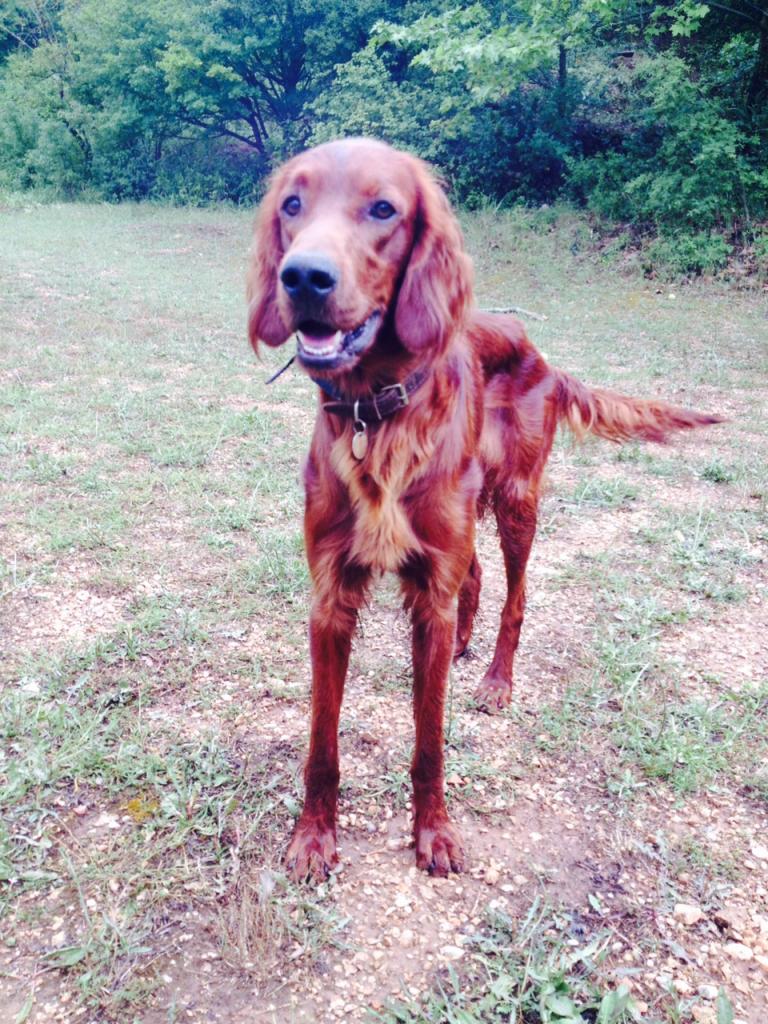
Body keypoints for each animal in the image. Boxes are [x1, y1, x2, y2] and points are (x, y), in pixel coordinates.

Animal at [247, 140, 720, 884]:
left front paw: (433, 832)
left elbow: (430, 741)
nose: (304, 278)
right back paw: (466, 645)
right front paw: (314, 837)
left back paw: (497, 679)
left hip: (517, 501)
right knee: (469, 581)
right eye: (292, 204)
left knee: (514, 597)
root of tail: (540, 352)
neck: (378, 412)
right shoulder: (332, 598)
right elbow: (322, 741)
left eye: (384, 209)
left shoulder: (432, 574)